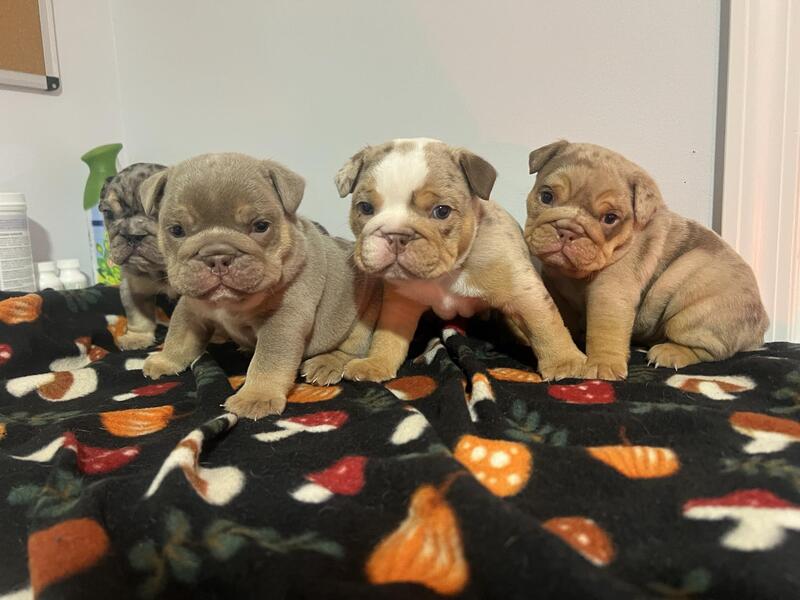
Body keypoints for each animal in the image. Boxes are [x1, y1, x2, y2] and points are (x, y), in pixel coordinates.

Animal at [138, 153, 379, 419]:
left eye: (261, 226)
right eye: (177, 230)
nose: (217, 255)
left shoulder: (282, 321)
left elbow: (268, 360)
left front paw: (256, 397)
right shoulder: (191, 308)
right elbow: (178, 335)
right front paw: (166, 360)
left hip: (364, 318)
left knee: (351, 349)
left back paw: (325, 364)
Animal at [334, 137, 586, 383]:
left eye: (441, 211)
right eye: (365, 208)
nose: (395, 235)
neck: (447, 272)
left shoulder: (524, 293)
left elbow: (546, 325)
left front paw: (565, 362)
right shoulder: (400, 303)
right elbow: (387, 336)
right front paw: (376, 363)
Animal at [524, 141, 769, 379]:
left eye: (610, 218)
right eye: (546, 197)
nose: (567, 231)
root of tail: (761, 323)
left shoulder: (609, 293)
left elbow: (605, 329)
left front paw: (602, 365)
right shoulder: (556, 287)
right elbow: (561, 316)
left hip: (695, 312)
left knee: (709, 349)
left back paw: (669, 352)